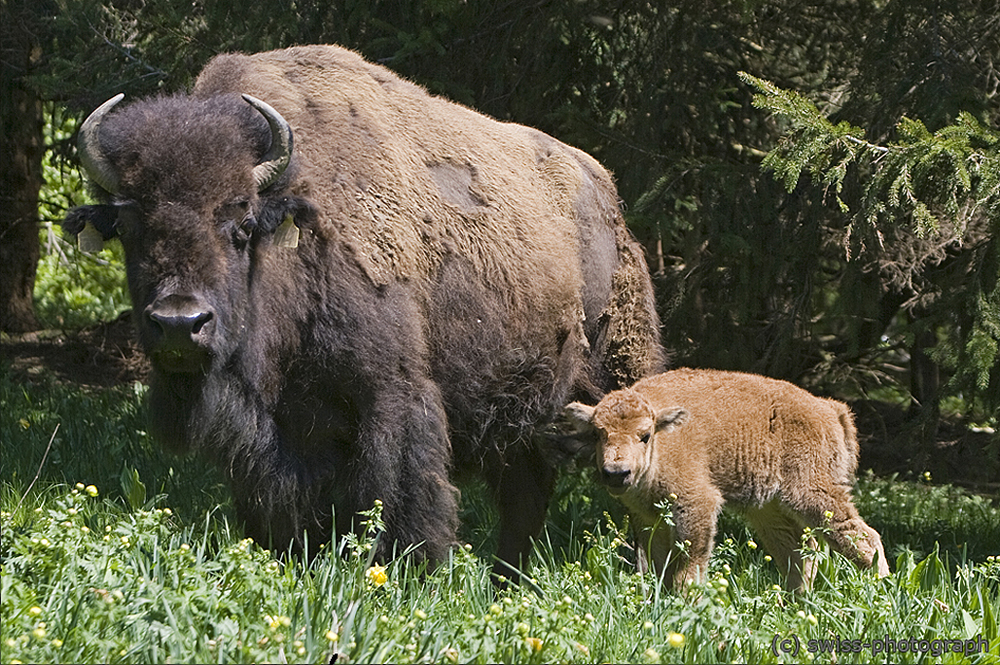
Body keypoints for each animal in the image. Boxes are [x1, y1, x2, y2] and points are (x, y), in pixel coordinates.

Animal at [64, 44, 664, 572]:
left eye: (241, 223)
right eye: (131, 228)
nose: (179, 323)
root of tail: (608, 199)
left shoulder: (391, 397)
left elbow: (400, 499)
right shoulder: (276, 439)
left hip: (620, 375)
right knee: (526, 494)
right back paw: (508, 580)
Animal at [568, 368, 888, 592]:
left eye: (644, 435)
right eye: (597, 433)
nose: (616, 472)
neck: (664, 438)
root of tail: (830, 408)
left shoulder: (697, 505)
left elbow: (689, 563)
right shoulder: (647, 517)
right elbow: (658, 564)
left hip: (813, 493)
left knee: (864, 537)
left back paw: (882, 591)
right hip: (770, 511)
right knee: (798, 553)